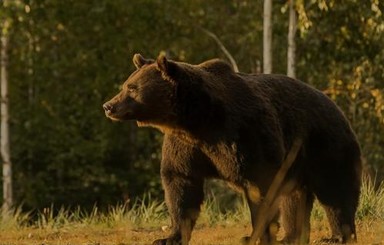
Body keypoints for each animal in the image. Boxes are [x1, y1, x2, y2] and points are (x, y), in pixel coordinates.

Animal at [103, 54, 362, 245]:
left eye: (132, 88)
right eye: (126, 85)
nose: (108, 105)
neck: (198, 120)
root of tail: (334, 104)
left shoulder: (244, 133)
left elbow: (261, 186)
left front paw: (255, 235)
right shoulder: (185, 146)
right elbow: (180, 184)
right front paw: (169, 237)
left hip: (325, 144)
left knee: (335, 189)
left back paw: (338, 235)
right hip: (297, 161)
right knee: (295, 197)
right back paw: (292, 237)